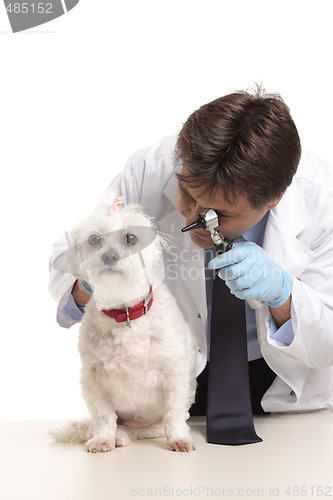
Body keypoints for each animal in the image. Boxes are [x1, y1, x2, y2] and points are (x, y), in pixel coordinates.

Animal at [51, 199, 197, 454]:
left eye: (130, 238)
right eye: (94, 239)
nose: (109, 256)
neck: (124, 312)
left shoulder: (174, 372)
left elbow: (175, 413)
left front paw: (179, 438)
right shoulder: (93, 378)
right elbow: (103, 416)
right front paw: (103, 439)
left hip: (153, 425)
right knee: (111, 425)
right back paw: (117, 436)